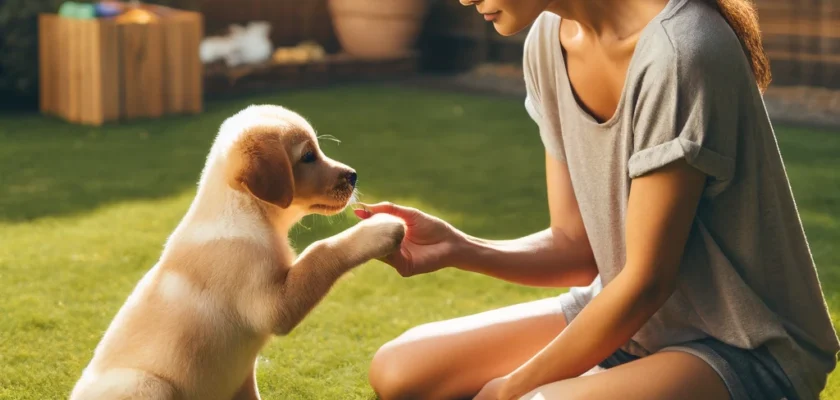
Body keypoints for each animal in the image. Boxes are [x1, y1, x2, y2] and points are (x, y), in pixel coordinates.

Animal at [69, 105, 404, 400]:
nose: (353, 175)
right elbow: (320, 251)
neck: (244, 210)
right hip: (147, 384)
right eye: (308, 156)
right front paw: (381, 228)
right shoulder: (272, 304)